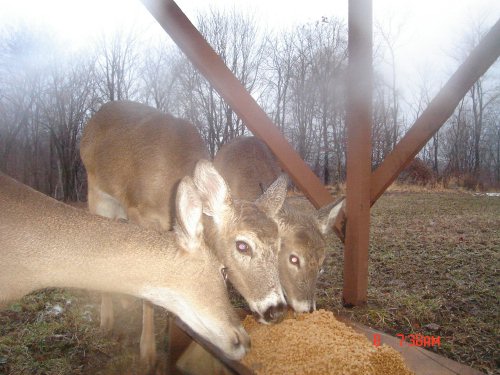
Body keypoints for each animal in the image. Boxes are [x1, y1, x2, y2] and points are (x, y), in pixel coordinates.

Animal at [80, 101, 288, 368]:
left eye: (279, 245)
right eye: (242, 245)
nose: (277, 309)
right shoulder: (140, 213)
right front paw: (148, 353)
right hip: (97, 195)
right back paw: (107, 320)